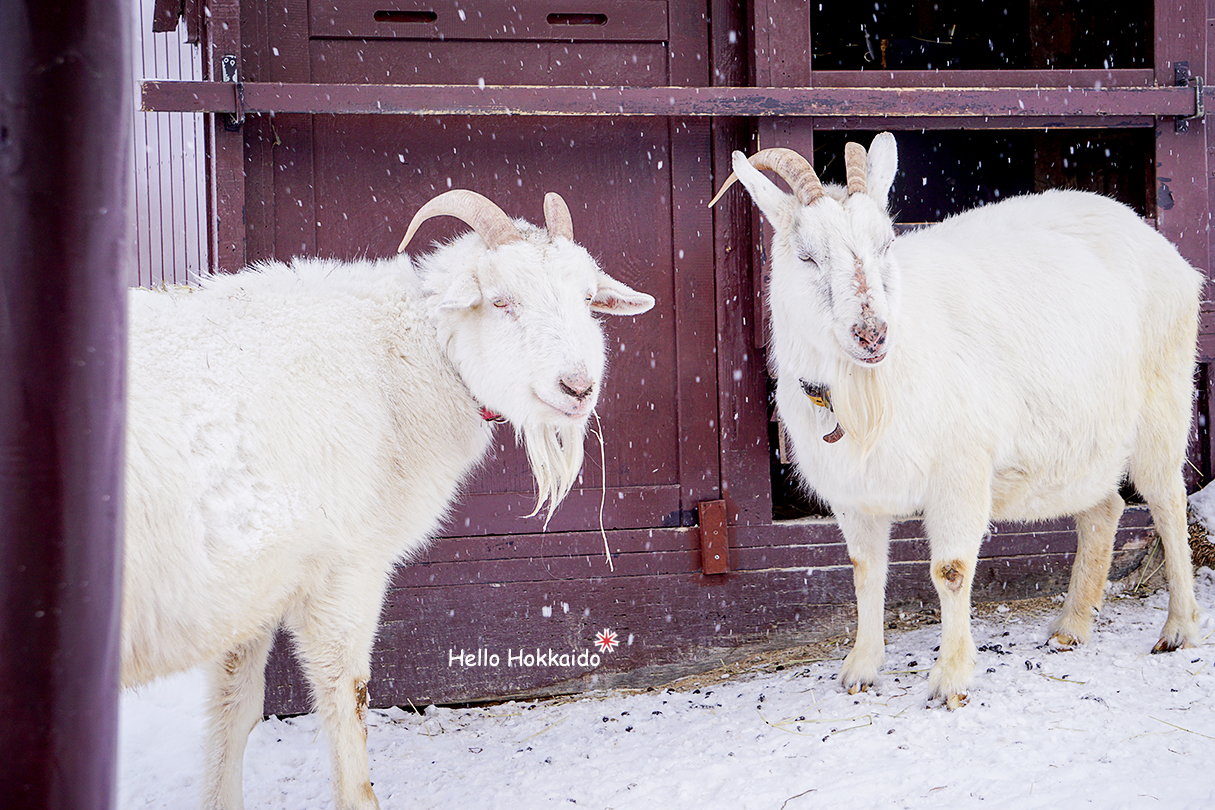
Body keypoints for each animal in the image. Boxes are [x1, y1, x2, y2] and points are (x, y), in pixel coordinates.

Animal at [123, 191, 656, 810]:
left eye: (588, 299)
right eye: (501, 301)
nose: (577, 387)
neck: (405, 358)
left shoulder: (252, 586)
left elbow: (235, 707)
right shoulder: (344, 565)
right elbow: (346, 692)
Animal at [709, 132, 1205, 709]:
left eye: (886, 245)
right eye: (807, 256)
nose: (872, 333)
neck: (870, 391)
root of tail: (1165, 251)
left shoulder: (960, 471)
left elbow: (950, 570)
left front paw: (950, 681)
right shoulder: (856, 494)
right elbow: (864, 570)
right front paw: (860, 669)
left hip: (1163, 403)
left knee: (1167, 500)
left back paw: (1178, 629)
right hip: (1084, 440)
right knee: (1104, 508)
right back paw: (1071, 626)